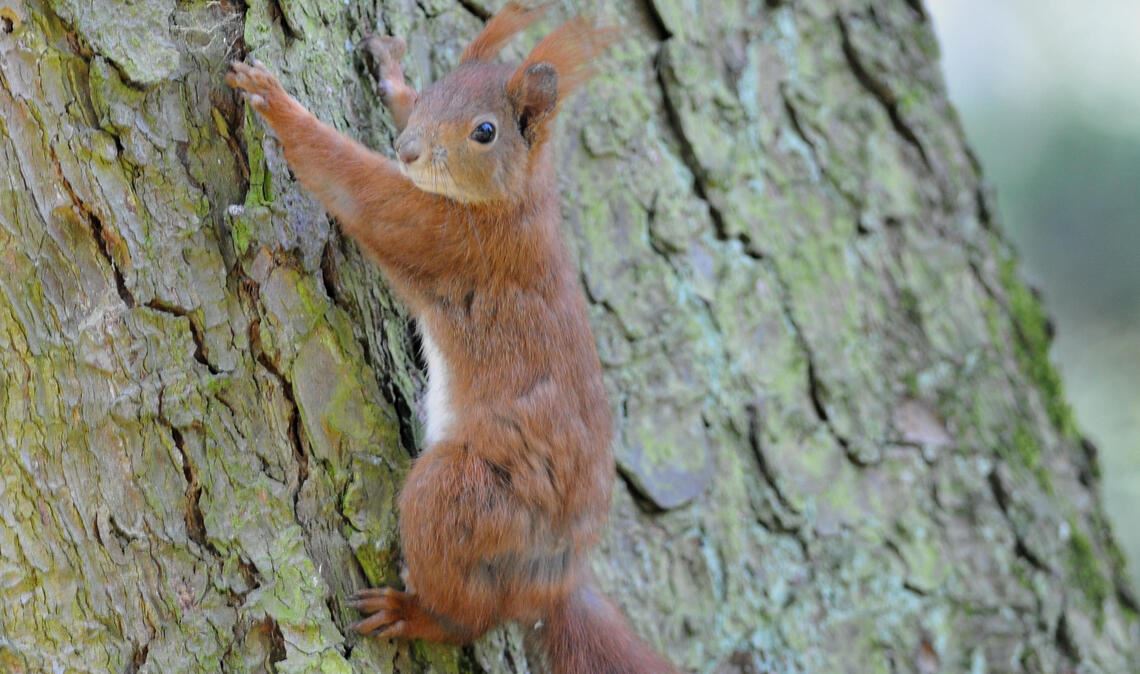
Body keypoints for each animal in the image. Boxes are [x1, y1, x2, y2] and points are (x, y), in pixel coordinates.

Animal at [227, 3, 678, 672]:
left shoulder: (444, 233)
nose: (408, 149)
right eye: (434, 93)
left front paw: (275, 102)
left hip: (463, 496)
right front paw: (390, 74)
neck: (517, 199)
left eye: (485, 131)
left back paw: (414, 615)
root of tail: (551, 582)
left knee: (467, 613)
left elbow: (355, 184)